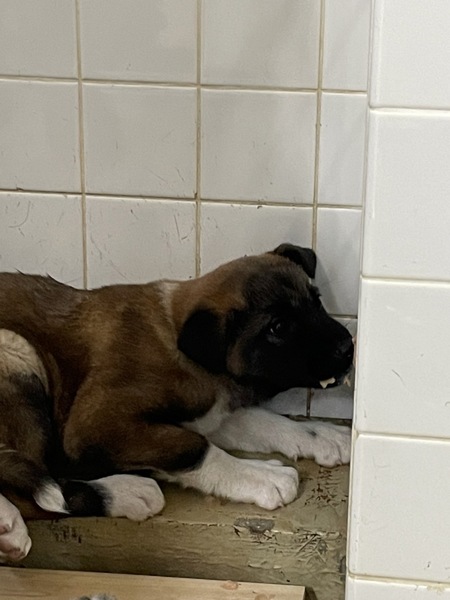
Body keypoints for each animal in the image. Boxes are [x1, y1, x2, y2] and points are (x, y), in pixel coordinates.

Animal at [0, 243, 353, 562]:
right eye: (277, 327)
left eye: (316, 300)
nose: (348, 347)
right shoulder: (95, 423)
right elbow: (195, 448)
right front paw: (261, 476)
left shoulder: (211, 413)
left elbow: (266, 422)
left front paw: (325, 436)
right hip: (17, 348)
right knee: (31, 493)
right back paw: (123, 493)